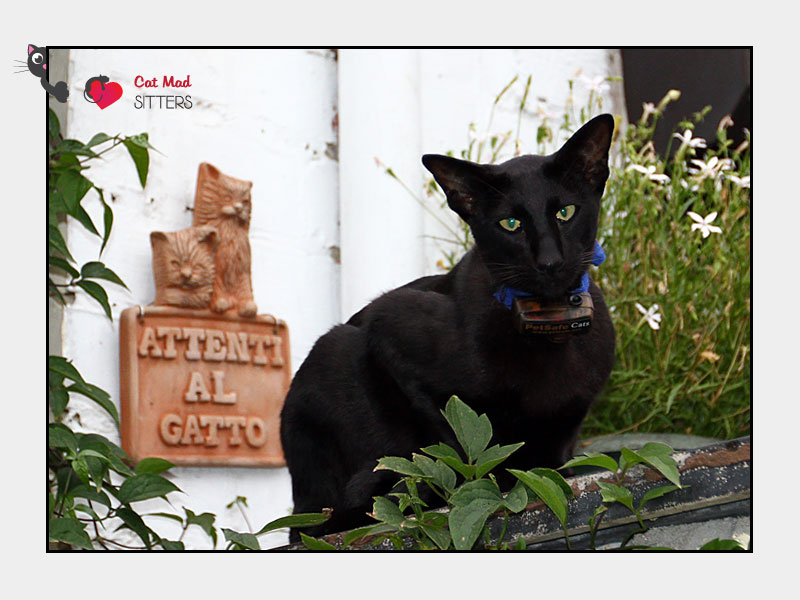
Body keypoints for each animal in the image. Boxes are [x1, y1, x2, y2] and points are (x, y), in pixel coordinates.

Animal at [282, 115, 620, 540]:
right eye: (510, 224)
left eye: (566, 213)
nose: (549, 261)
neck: (547, 326)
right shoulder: (388, 330)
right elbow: (456, 447)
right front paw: (489, 478)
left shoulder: (572, 411)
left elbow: (552, 450)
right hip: (332, 351)